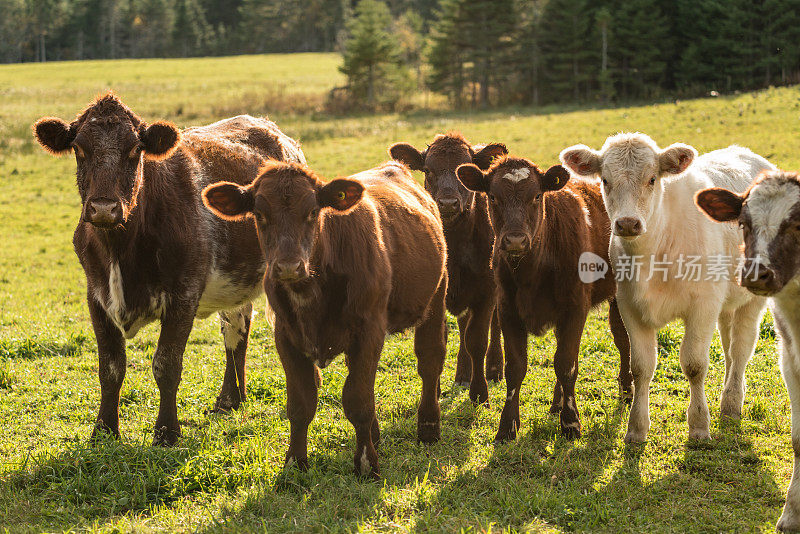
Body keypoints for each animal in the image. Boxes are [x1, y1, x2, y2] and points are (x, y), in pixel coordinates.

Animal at [33, 93, 306, 448]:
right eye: (80, 148)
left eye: (135, 149)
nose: (104, 207)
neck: (120, 249)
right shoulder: (96, 296)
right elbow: (110, 368)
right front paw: (104, 430)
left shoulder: (184, 294)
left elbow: (167, 364)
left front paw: (166, 432)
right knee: (236, 330)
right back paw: (229, 400)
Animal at [203, 161, 446, 480]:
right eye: (259, 214)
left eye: (312, 211)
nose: (288, 266)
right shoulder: (285, 336)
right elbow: (301, 404)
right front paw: (294, 464)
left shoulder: (370, 329)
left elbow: (358, 399)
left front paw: (366, 463)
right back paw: (376, 434)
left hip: (436, 296)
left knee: (429, 360)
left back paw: (428, 426)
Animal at [390, 135, 506, 406]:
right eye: (428, 170)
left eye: (464, 171)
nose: (448, 203)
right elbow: (446, 338)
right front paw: (436, 390)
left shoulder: (486, 291)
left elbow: (478, 340)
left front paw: (480, 393)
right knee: (463, 326)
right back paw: (463, 374)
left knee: (494, 324)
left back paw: (495, 369)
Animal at [456, 157, 632, 442]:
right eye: (492, 196)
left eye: (537, 196)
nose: (515, 240)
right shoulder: (508, 311)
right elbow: (516, 367)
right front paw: (507, 426)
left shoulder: (575, 309)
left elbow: (566, 364)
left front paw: (571, 423)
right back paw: (557, 402)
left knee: (622, 340)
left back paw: (627, 391)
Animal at [560, 134, 772, 444]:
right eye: (605, 180)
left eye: (652, 179)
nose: (627, 223)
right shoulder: (629, 305)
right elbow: (641, 367)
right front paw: (636, 428)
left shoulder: (702, 305)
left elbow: (695, 364)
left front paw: (699, 425)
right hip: (726, 300)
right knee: (729, 348)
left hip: (752, 297)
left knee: (741, 348)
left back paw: (732, 403)